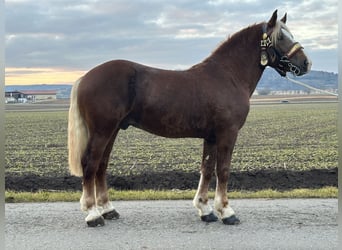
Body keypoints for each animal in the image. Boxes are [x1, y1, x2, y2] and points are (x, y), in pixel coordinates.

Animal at [68, 10, 312, 227]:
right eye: (281, 37)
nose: (306, 63)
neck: (228, 76)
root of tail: (85, 77)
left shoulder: (211, 136)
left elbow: (207, 168)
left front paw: (205, 209)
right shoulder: (228, 133)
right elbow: (223, 170)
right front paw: (226, 211)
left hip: (113, 130)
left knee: (101, 165)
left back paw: (108, 209)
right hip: (102, 131)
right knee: (90, 164)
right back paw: (93, 214)